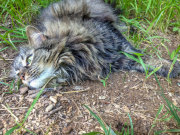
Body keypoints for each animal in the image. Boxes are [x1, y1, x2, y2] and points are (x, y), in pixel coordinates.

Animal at [10, 0, 180, 89]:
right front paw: (169, 67)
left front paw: (172, 65)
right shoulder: (117, 60)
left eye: (29, 59)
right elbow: (141, 62)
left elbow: (143, 56)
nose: (22, 77)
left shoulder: (118, 42)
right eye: (17, 73)